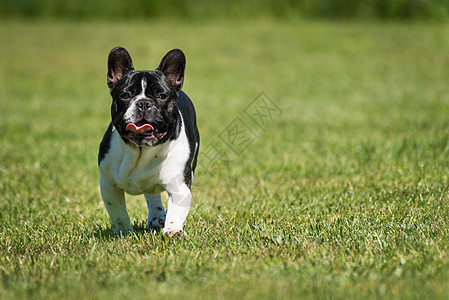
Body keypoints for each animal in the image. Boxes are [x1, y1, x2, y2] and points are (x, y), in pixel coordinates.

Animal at [99, 47, 199, 238]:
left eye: (162, 95)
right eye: (125, 95)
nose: (144, 103)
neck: (141, 151)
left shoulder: (180, 186)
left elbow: (176, 210)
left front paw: (173, 229)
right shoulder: (108, 184)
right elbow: (117, 212)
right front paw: (124, 231)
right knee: (151, 195)